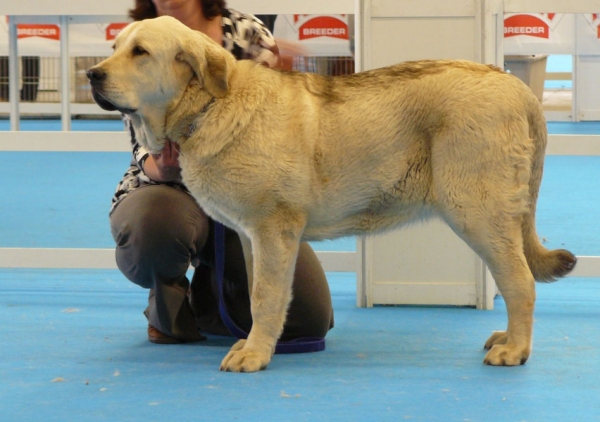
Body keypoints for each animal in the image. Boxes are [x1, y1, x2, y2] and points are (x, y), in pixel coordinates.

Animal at [89, 15, 576, 372]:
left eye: (140, 52)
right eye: (115, 48)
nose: (93, 74)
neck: (209, 104)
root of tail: (515, 86)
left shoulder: (274, 230)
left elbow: (266, 297)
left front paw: (255, 355)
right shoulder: (251, 238)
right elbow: (256, 295)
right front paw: (251, 343)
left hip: (478, 214)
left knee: (520, 282)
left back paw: (515, 349)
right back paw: (508, 338)